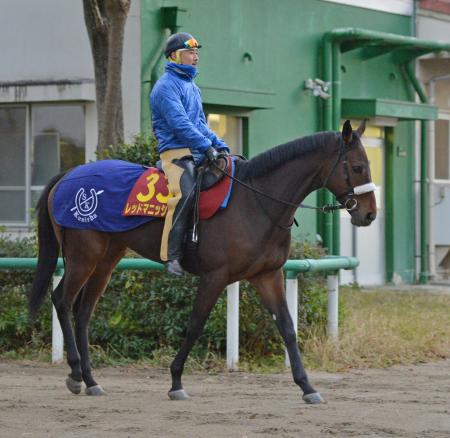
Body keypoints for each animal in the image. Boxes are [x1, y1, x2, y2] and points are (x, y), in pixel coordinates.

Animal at [29, 119, 376, 404]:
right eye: (358, 167)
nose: (370, 214)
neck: (256, 201)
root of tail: (68, 175)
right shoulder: (215, 277)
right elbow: (195, 324)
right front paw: (176, 380)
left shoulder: (268, 276)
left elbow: (288, 328)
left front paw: (307, 386)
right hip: (82, 257)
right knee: (62, 301)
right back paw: (76, 374)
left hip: (106, 259)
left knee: (83, 311)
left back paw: (90, 380)